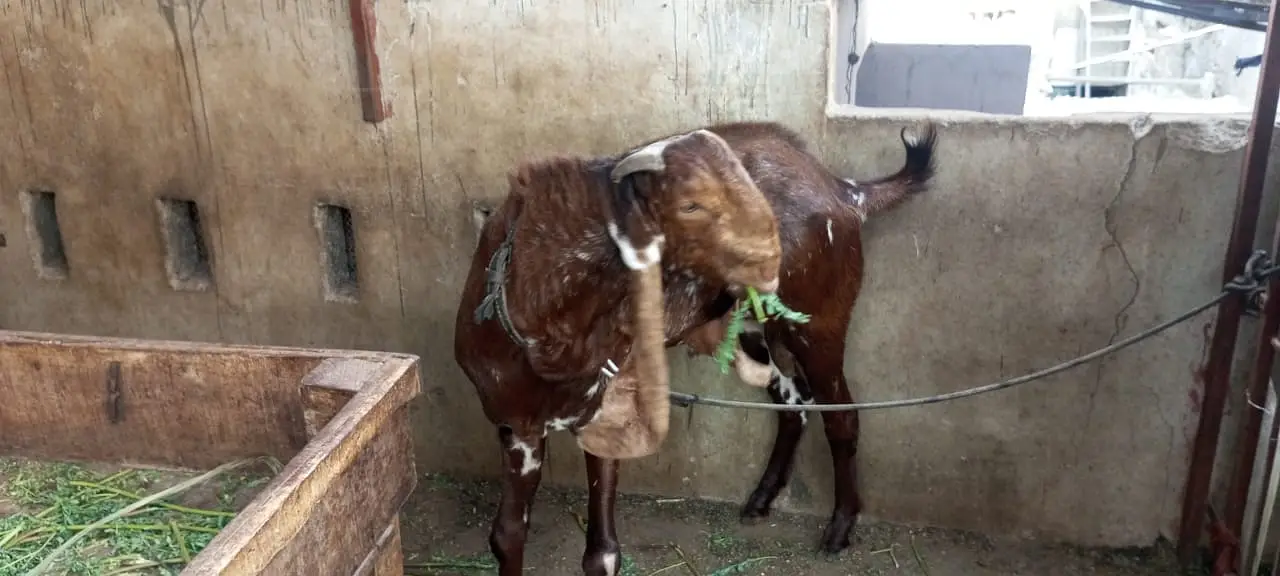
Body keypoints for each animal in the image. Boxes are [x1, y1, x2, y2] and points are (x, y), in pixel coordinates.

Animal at [454, 128, 783, 576]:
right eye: (690, 204)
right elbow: (507, 535)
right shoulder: (516, 424)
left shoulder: (608, 412)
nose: (770, 260)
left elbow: (603, 552)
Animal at [680, 120, 938, 554]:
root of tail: (845, 191)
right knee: (793, 402)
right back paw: (760, 500)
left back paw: (838, 530)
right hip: (759, 327)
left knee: (841, 416)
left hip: (817, 325)